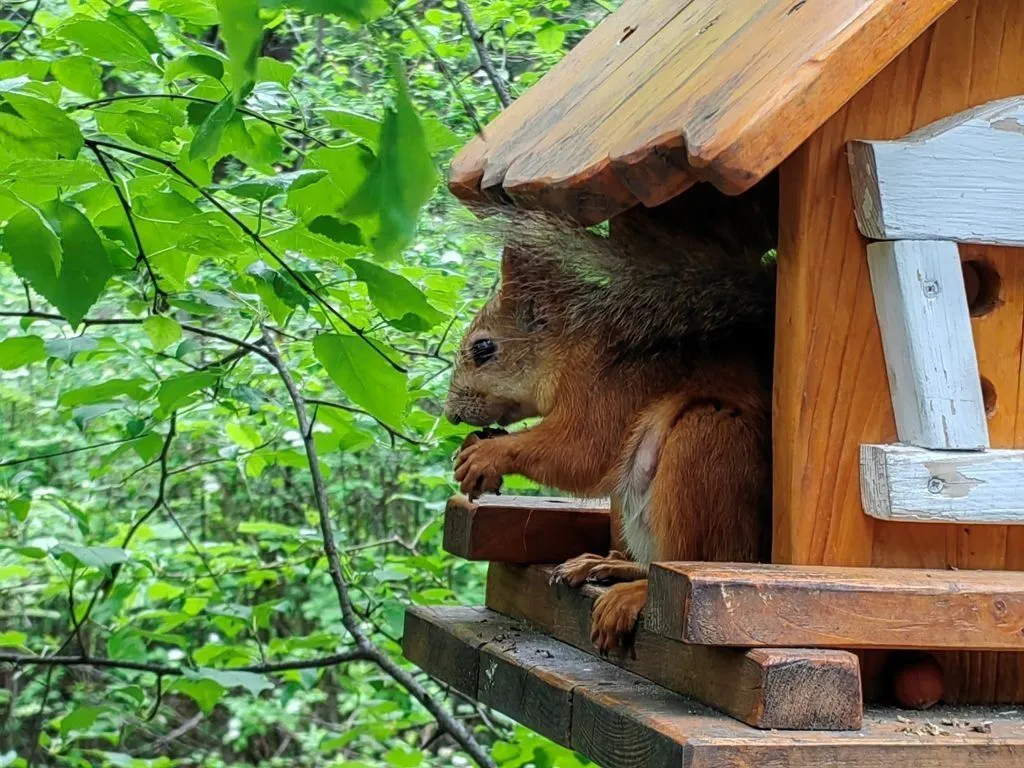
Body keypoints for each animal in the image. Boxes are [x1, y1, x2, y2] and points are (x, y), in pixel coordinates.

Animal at [444, 204, 770, 655]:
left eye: (483, 348)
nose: (450, 414)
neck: (573, 346)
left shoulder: (606, 391)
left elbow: (581, 452)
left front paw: (486, 455)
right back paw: (607, 563)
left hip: (708, 445)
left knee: (682, 570)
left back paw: (636, 592)